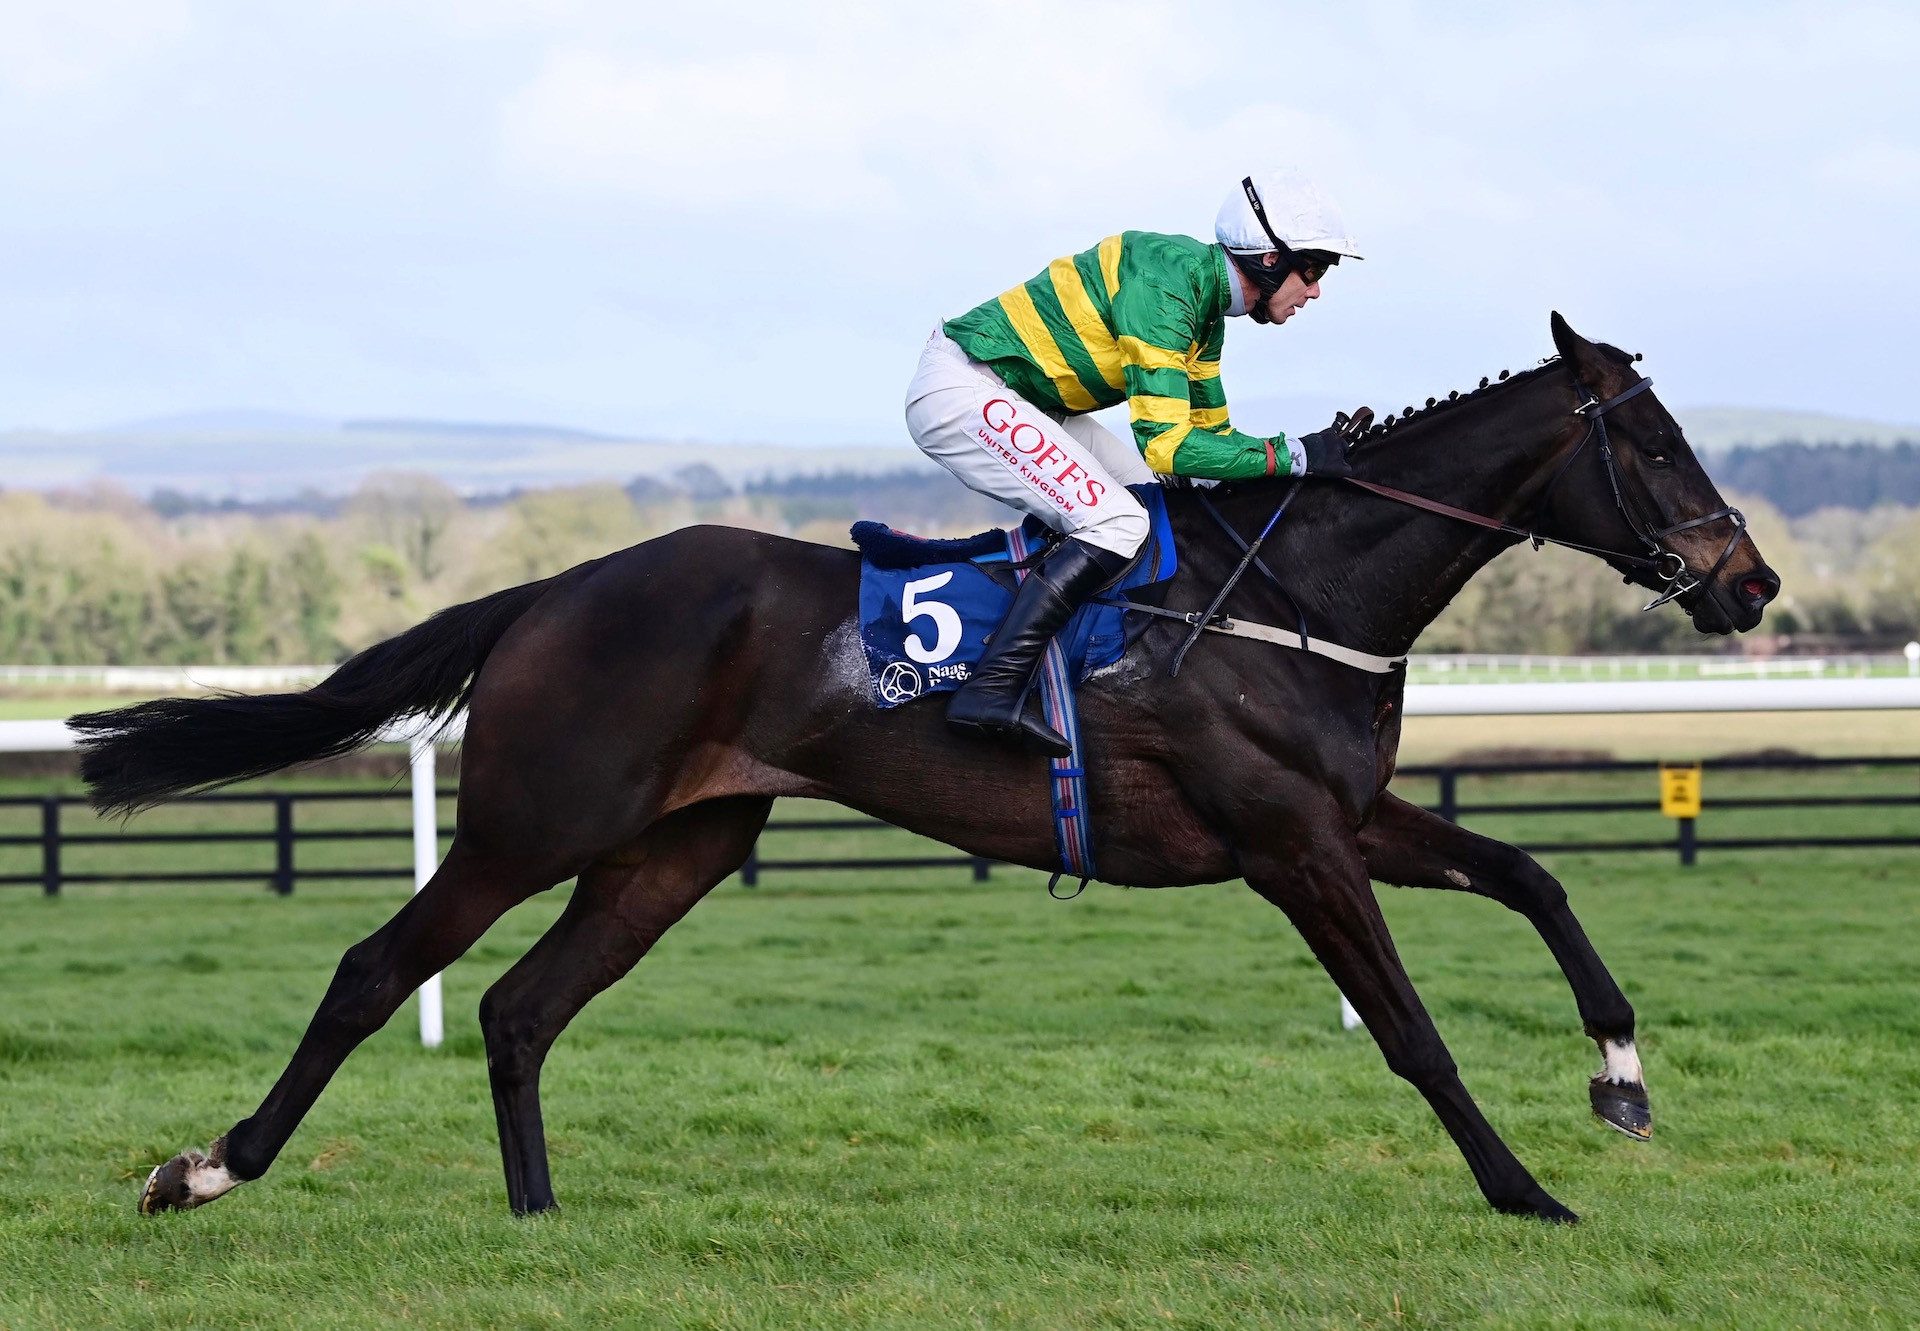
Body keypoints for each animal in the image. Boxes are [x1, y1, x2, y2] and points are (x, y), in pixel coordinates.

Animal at [82, 314, 1774, 1221]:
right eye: (1660, 446)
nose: (1749, 582)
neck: (1299, 590)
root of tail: (554, 589)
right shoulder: (1291, 840)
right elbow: (1414, 1032)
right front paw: (1524, 1187)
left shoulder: (1348, 813)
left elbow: (1535, 874)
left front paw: (1621, 1079)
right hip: (535, 817)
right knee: (380, 969)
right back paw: (207, 1169)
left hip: (676, 845)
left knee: (517, 1005)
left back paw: (538, 1216)